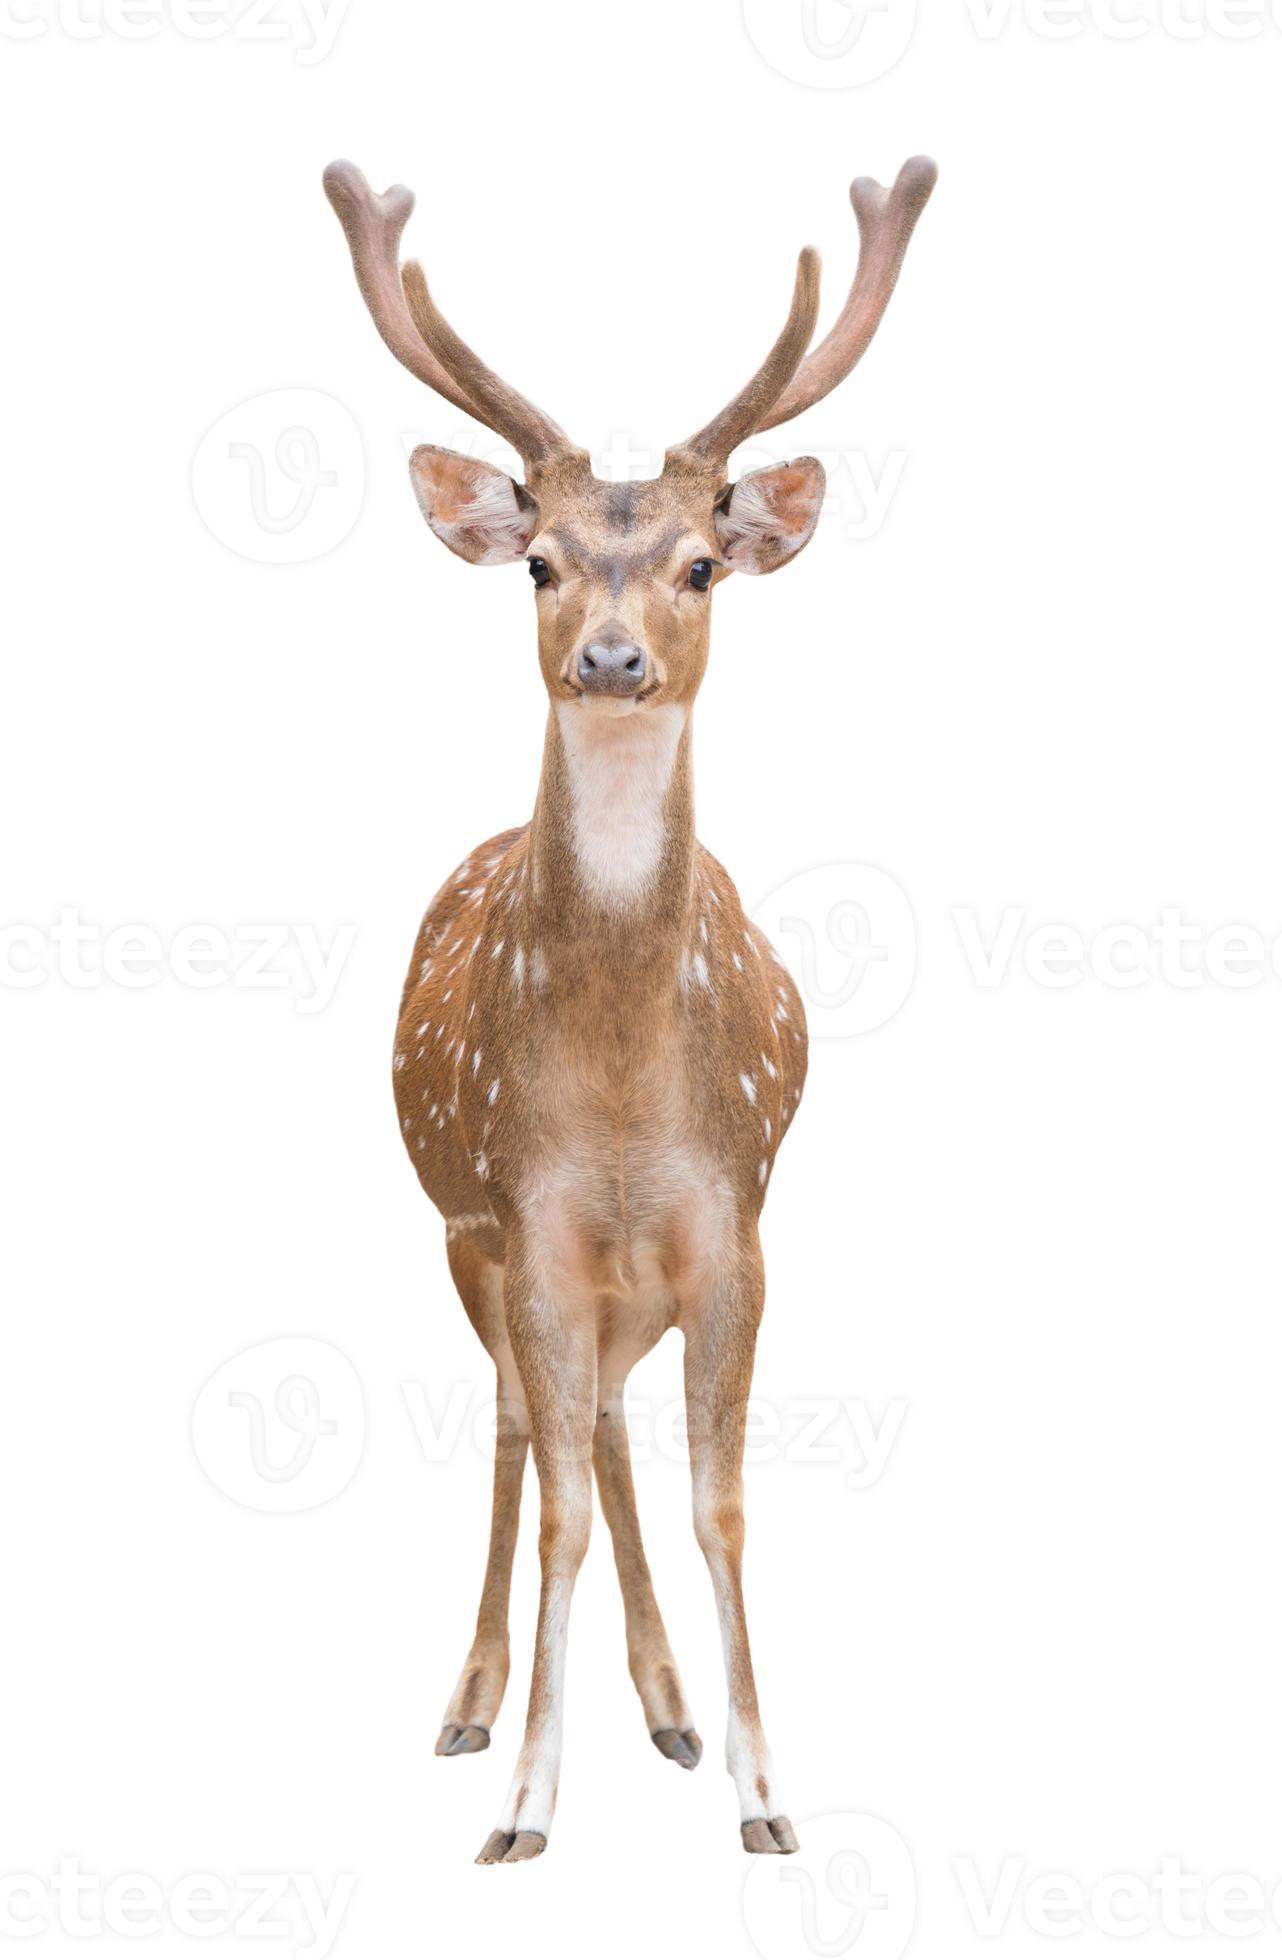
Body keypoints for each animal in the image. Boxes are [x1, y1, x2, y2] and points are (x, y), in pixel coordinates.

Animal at [322, 151, 936, 1864]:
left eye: (699, 565)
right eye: (537, 562)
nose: (608, 658)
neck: (614, 1090)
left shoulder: (733, 1221)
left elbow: (717, 1498)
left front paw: (765, 1792)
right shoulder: (525, 1218)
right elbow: (557, 1506)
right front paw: (526, 1805)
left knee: (595, 1423)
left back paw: (665, 1709)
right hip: (465, 1235)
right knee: (530, 1431)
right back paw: (473, 1701)